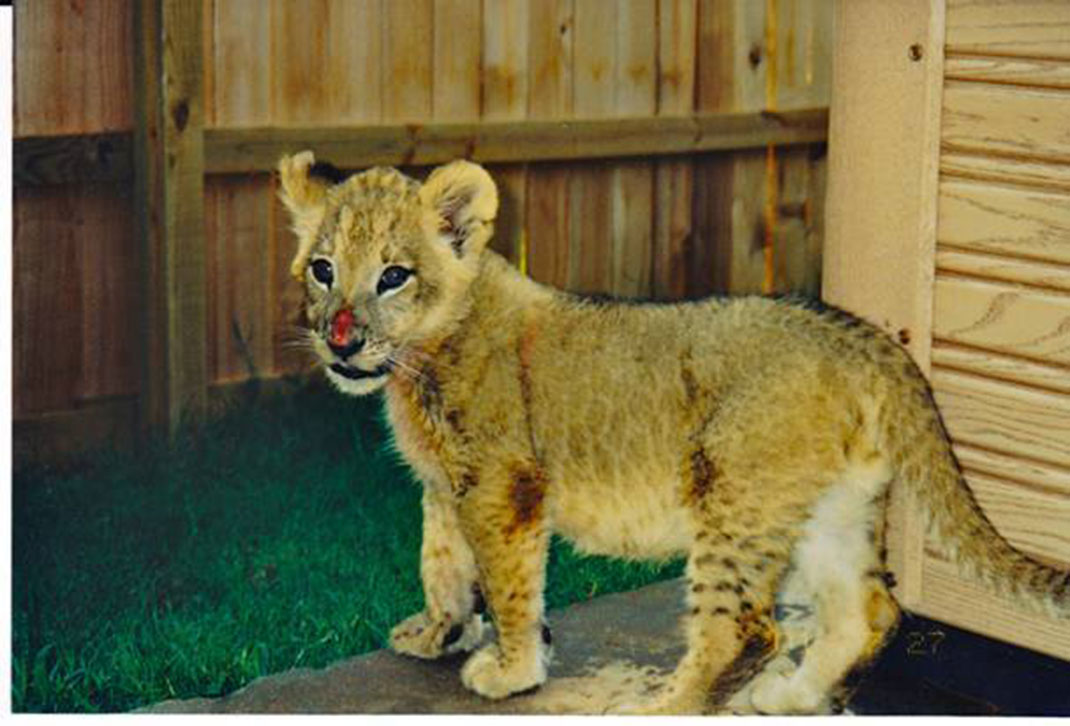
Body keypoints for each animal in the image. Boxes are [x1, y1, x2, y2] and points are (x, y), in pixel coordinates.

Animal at [276, 152, 1069, 714]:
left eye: (394, 276)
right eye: (323, 269)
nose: (341, 342)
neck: (418, 365)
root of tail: (861, 337)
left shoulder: (505, 487)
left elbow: (508, 584)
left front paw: (511, 668)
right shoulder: (448, 486)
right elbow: (440, 562)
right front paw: (437, 633)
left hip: (735, 494)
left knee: (744, 628)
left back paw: (663, 706)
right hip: (828, 506)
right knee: (869, 610)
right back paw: (792, 696)